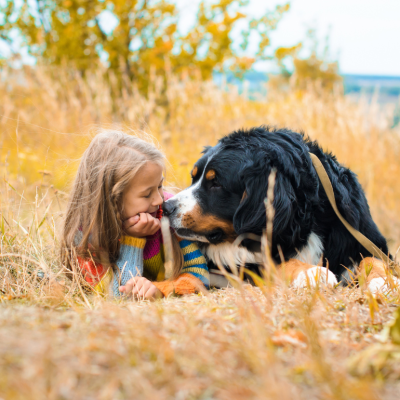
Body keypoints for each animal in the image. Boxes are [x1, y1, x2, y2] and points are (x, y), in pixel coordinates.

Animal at [164, 126, 396, 292]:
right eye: (194, 178)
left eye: (216, 183)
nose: (166, 207)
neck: (303, 221)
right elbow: (282, 264)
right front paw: (313, 273)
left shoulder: (362, 237)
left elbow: (373, 260)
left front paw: (384, 281)